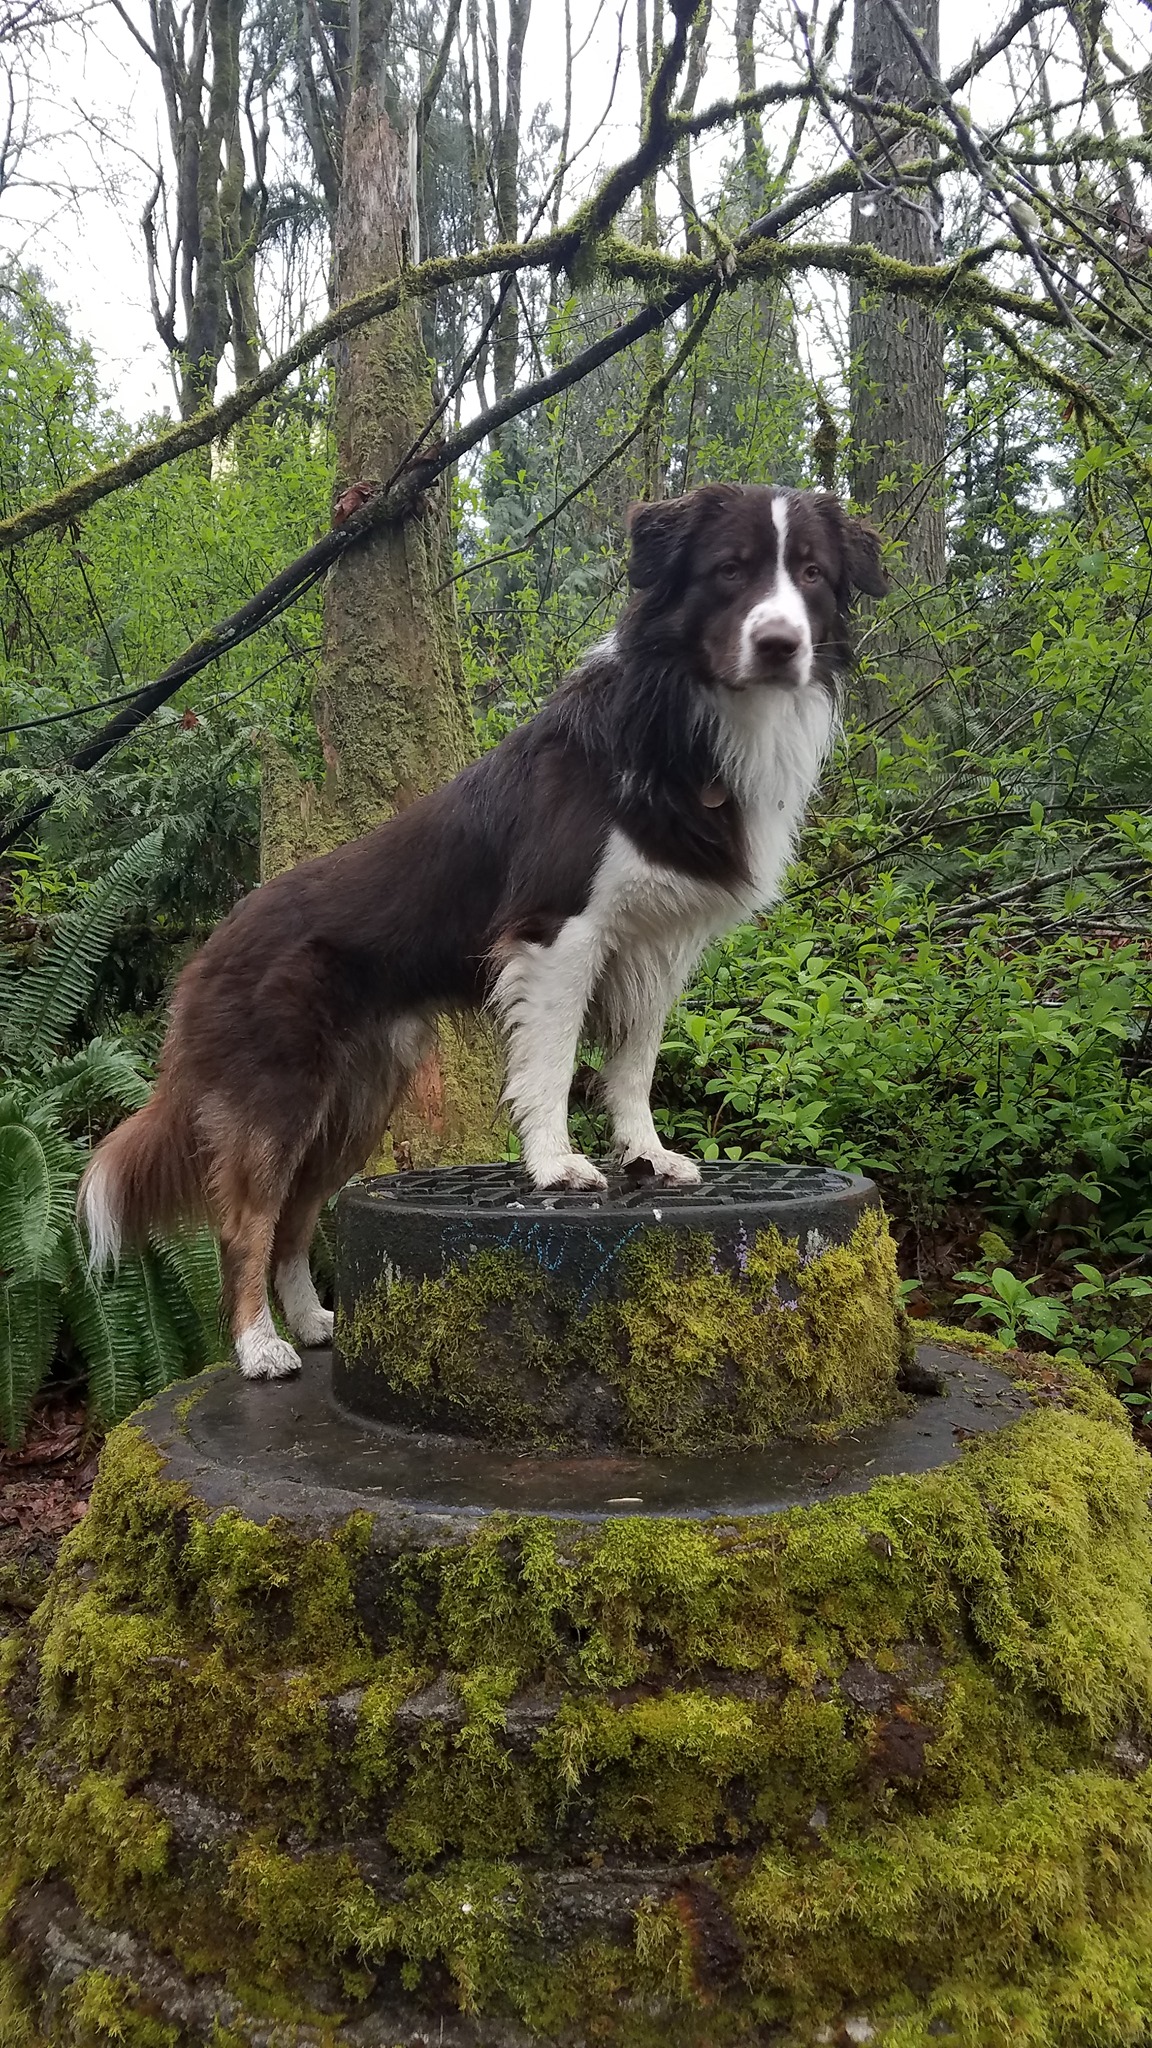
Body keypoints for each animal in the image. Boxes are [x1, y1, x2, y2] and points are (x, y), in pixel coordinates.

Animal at [78, 483, 877, 1376]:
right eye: (730, 570)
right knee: (245, 1224)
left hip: (357, 1107)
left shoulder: (655, 947)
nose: (779, 645)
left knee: (294, 1218)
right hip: (276, 1102)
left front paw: (646, 1154)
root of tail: (204, 956)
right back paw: (259, 1345)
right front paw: (558, 1165)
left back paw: (315, 1323)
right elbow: (552, 1067)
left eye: (811, 574)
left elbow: (632, 1066)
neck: (683, 715)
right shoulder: (559, 934)